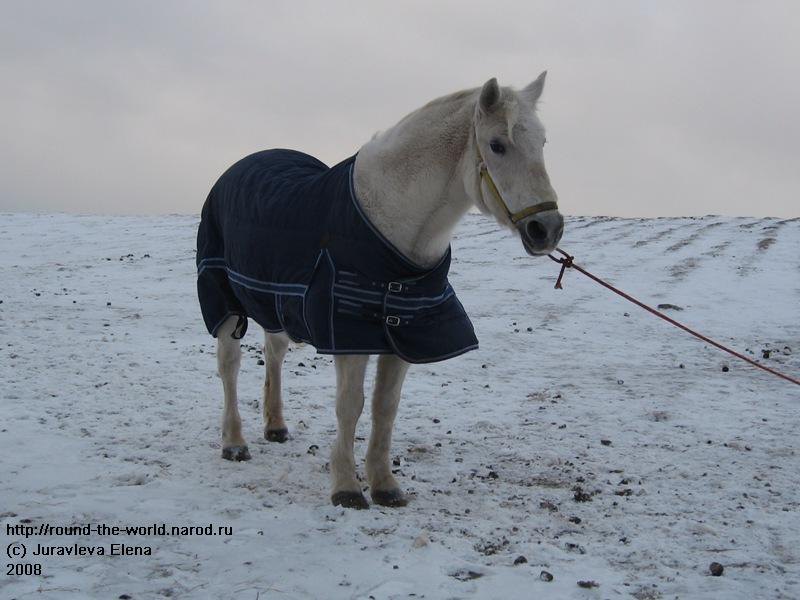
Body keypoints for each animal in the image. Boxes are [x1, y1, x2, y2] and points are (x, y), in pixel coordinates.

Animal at [212, 74, 564, 506]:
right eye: (497, 144)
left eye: (542, 143)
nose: (548, 229)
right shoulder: (350, 336)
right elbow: (351, 406)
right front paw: (346, 487)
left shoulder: (403, 335)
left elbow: (385, 407)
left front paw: (383, 485)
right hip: (225, 303)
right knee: (229, 366)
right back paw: (234, 442)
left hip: (276, 305)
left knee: (274, 354)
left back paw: (275, 426)